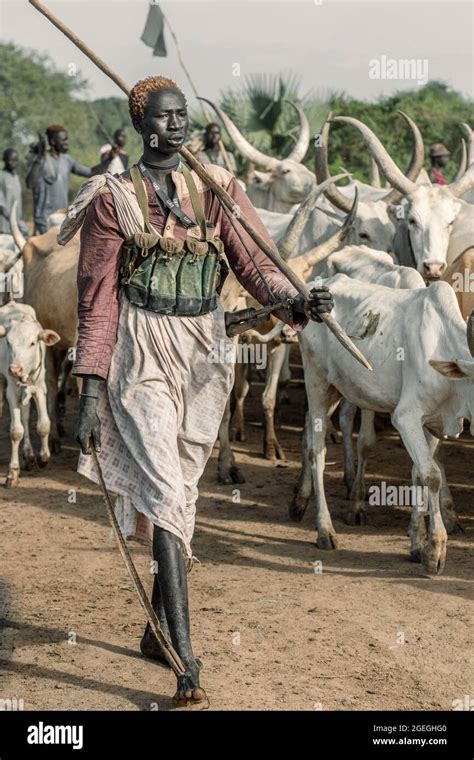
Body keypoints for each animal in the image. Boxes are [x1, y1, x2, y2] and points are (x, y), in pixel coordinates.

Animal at [0, 298, 60, 484]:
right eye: (8, 342)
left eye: (32, 343)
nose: (15, 369)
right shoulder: (12, 392)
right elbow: (15, 431)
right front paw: (12, 471)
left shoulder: (40, 388)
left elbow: (44, 425)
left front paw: (43, 457)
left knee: (26, 416)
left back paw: (28, 454)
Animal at [292, 274, 474, 576]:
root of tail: (318, 285)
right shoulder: (406, 417)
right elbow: (432, 476)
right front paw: (435, 550)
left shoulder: (432, 423)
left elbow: (418, 474)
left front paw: (417, 544)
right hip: (317, 381)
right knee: (316, 451)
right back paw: (325, 529)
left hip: (337, 389)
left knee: (307, 435)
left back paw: (298, 502)